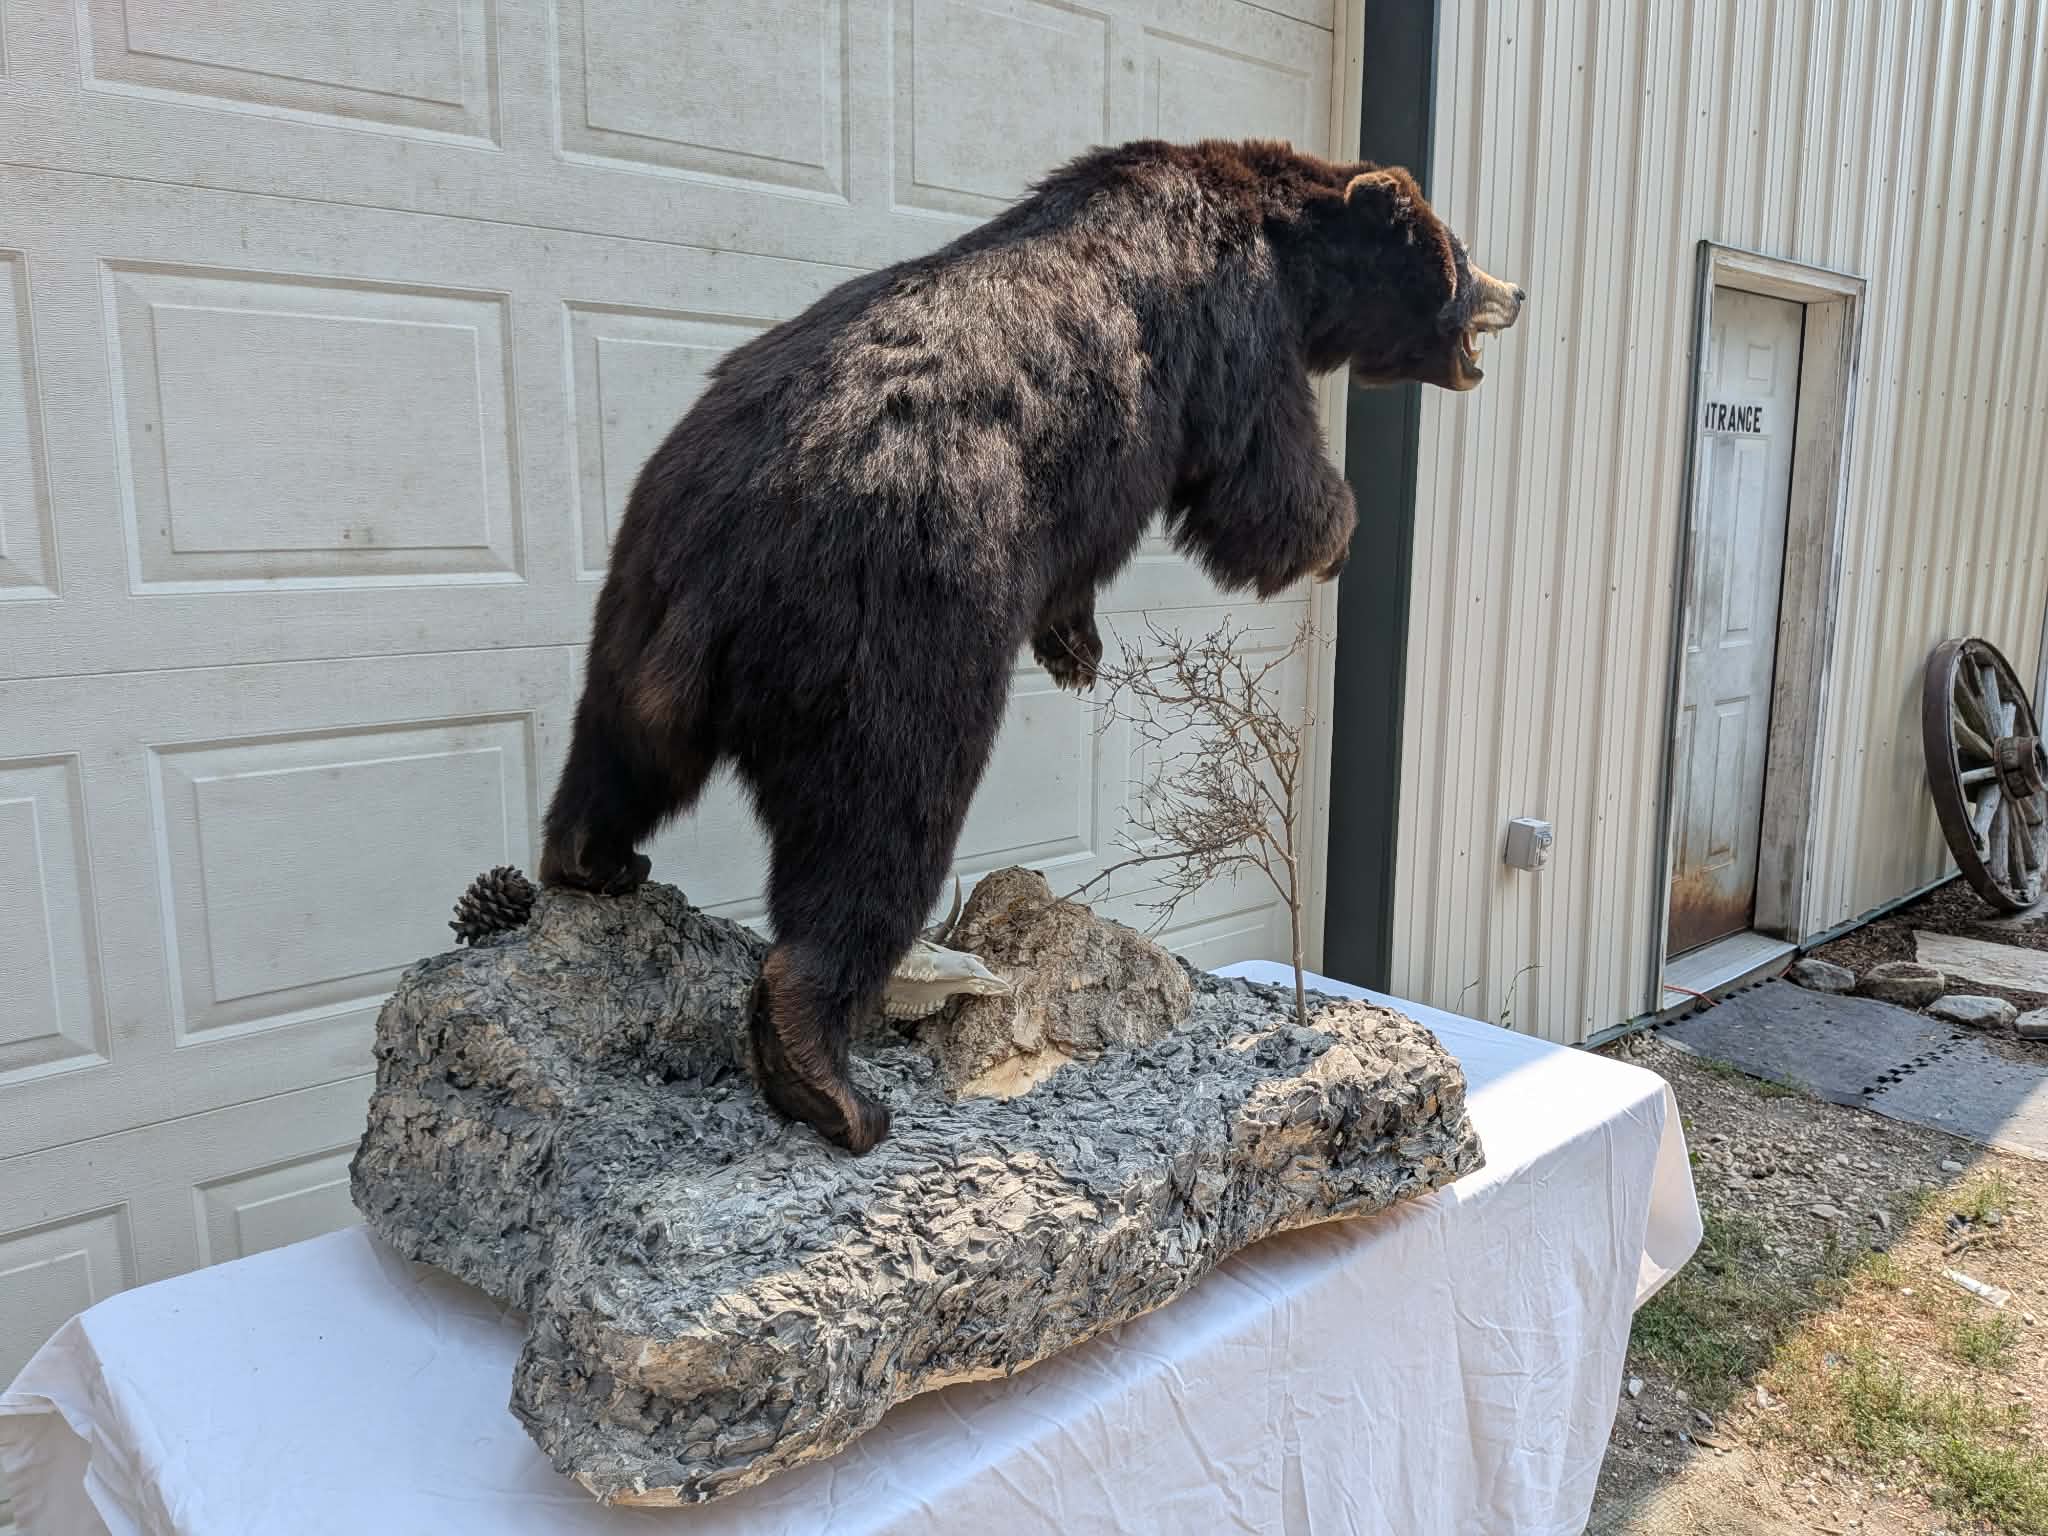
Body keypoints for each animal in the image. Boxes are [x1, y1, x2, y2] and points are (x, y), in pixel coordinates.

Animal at [540, 138, 1523, 1153]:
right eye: (1460, 253)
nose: (1517, 290)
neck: (1289, 250)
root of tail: (733, 547)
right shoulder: (1232, 334)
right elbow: (1260, 466)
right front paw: (1332, 532)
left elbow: (1088, 556)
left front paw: (1075, 646)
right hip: (897, 622)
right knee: (878, 820)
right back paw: (830, 1079)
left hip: (640, 597)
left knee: (615, 753)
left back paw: (591, 860)